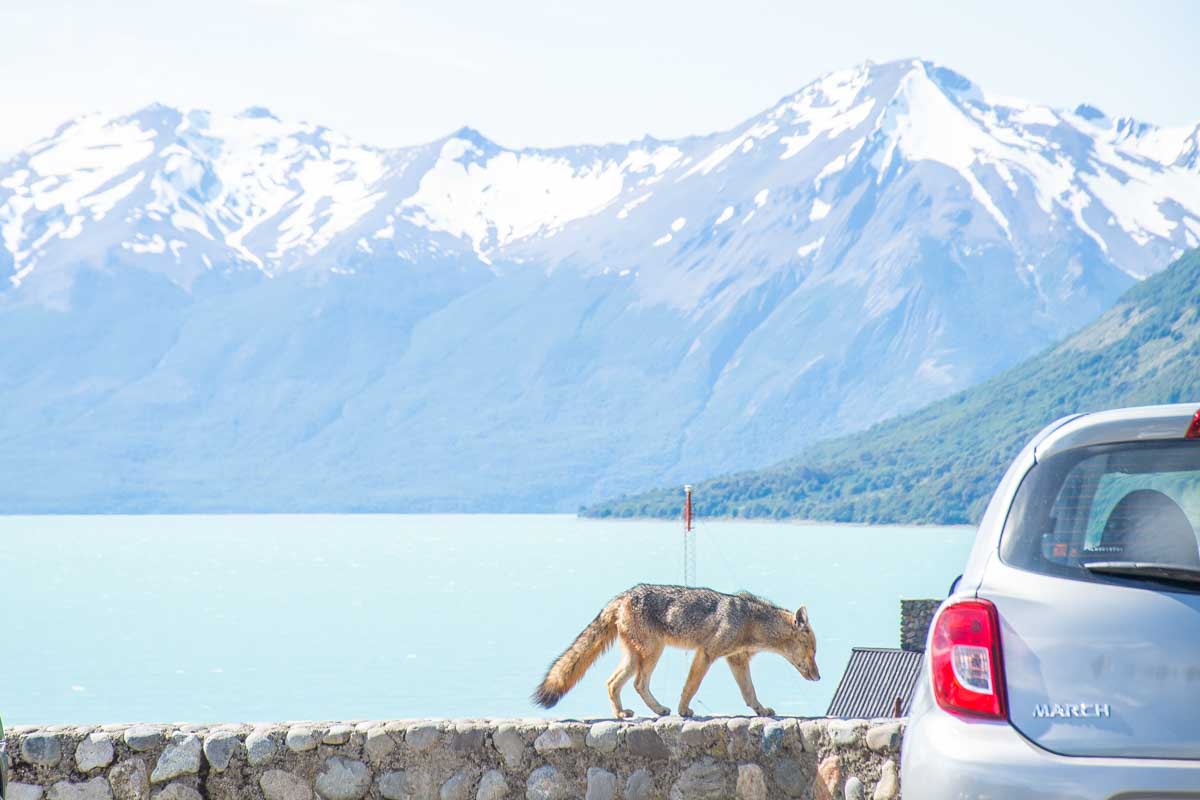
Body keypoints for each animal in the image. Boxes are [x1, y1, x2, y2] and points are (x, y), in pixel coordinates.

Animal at [532, 583, 820, 718]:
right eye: (813, 651)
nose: (819, 677)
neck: (751, 620)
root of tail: (622, 595)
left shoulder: (737, 661)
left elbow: (749, 693)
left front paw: (760, 710)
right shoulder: (706, 653)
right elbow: (690, 686)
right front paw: (684, 710)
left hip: (635, 658)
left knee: (612, 683)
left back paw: (622, 714)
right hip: (652, 653)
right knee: (638, 684)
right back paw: (659, 710)